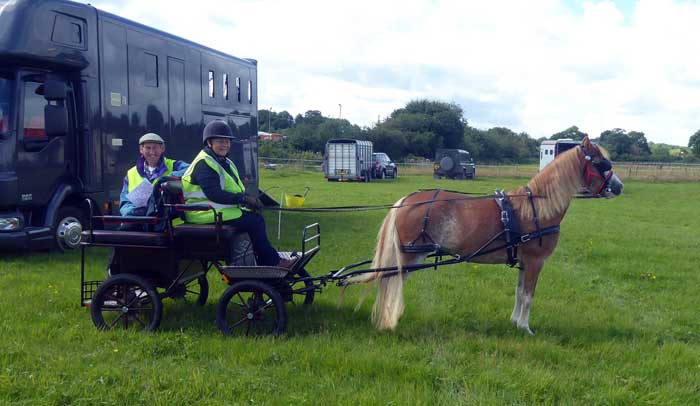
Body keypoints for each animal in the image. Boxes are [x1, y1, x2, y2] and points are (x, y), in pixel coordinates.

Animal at [348, 136, 628, 334]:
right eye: (602, 164)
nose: (619, 187)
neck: (537, 207)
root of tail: (407, 200)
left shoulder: (524, 262)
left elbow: (519, 293)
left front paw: (515, 322)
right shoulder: (535, 261)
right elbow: (528, 296)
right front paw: (526, 328)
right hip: (408, 257)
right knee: (389, 283)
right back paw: (388, 320)